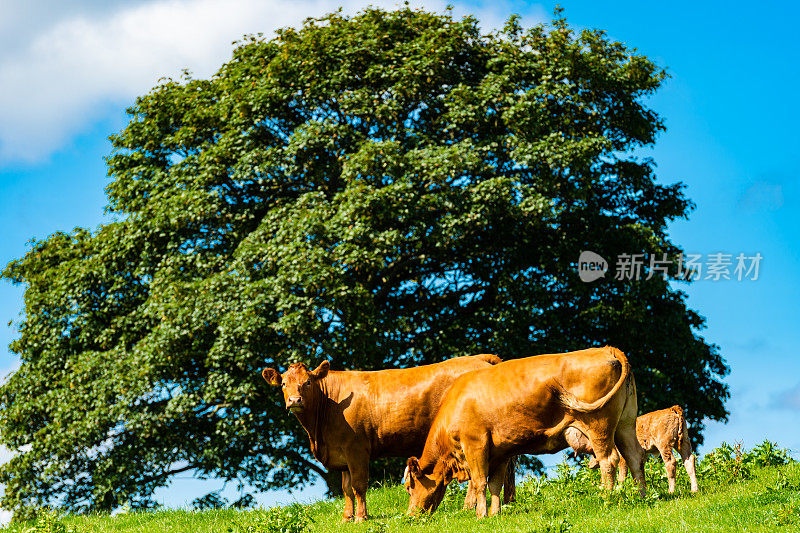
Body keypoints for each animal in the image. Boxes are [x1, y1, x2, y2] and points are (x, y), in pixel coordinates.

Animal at [404, 344, 648, 516]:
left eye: (408, 487)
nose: (410, 516)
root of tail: (605, 349)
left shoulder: (475, 443)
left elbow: (480, 481)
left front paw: (481, 515)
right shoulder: (500, 451)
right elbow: (495, 484)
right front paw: (495, 514)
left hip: (599, 425)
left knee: (609, 460)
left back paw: (607, 499)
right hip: (625, 423)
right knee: (635, 457)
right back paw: (642, 496)